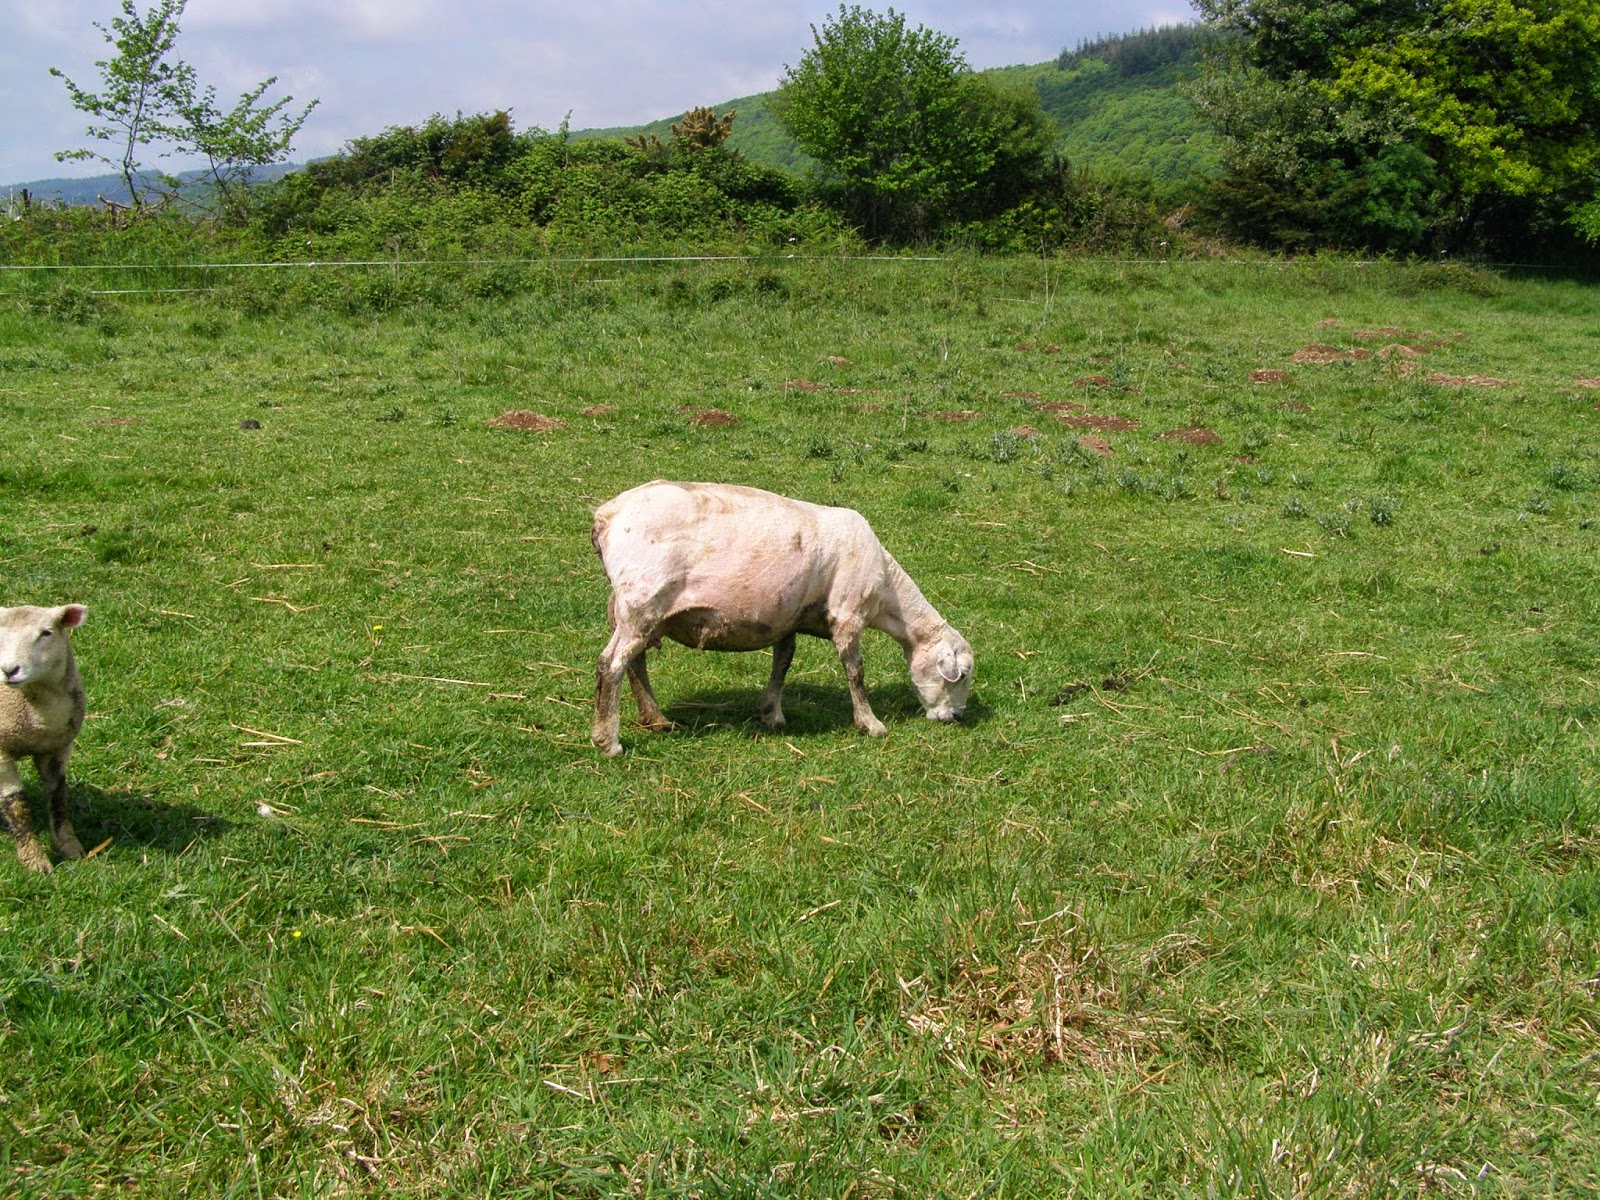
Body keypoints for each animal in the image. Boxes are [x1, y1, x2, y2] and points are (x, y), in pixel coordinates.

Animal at [0, 604, 88, 872]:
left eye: (46, 633)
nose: (9, 670)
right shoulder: (1, 753)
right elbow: (16, 804)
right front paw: (35, 859)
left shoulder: (57, 748)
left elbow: (58, 795)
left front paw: (70, 846)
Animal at [591, 481, 973, 756]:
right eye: (964, 675)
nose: (956, 717)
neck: (887, 595)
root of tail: (607, 515)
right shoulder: (848, 614)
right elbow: (856, 672)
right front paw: (870, 724)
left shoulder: (786, 617)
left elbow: (783, 663)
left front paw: (771, 714)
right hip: (642, 600)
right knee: (611, 664)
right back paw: (608, 741)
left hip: (628, 607)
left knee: (635, 662)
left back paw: (656, 720)